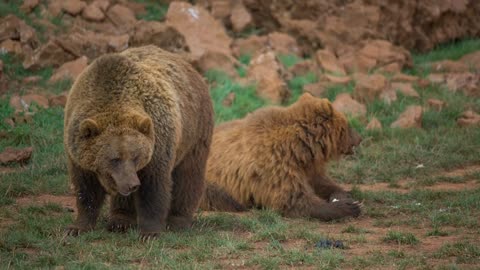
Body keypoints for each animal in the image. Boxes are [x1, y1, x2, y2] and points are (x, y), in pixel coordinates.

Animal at [63, 45, 214, 239]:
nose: (133, 184)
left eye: (136, 156)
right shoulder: (77, 150)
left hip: (194, 132)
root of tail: (190, 67)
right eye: (114, 159)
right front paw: (77, 227)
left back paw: (178, 221)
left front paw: (150, 232)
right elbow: (86, 188)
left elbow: (153, 186)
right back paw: (120, 220)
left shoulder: (157, 138)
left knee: (188, 175)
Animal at [201, 93, 362, 221]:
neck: (299, 147)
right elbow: (293, 199)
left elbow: (321, 181)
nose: (360, 138)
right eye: (348, 125)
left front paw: (344, 196)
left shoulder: (307, 166)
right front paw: (347, 207)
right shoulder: (275, 165)